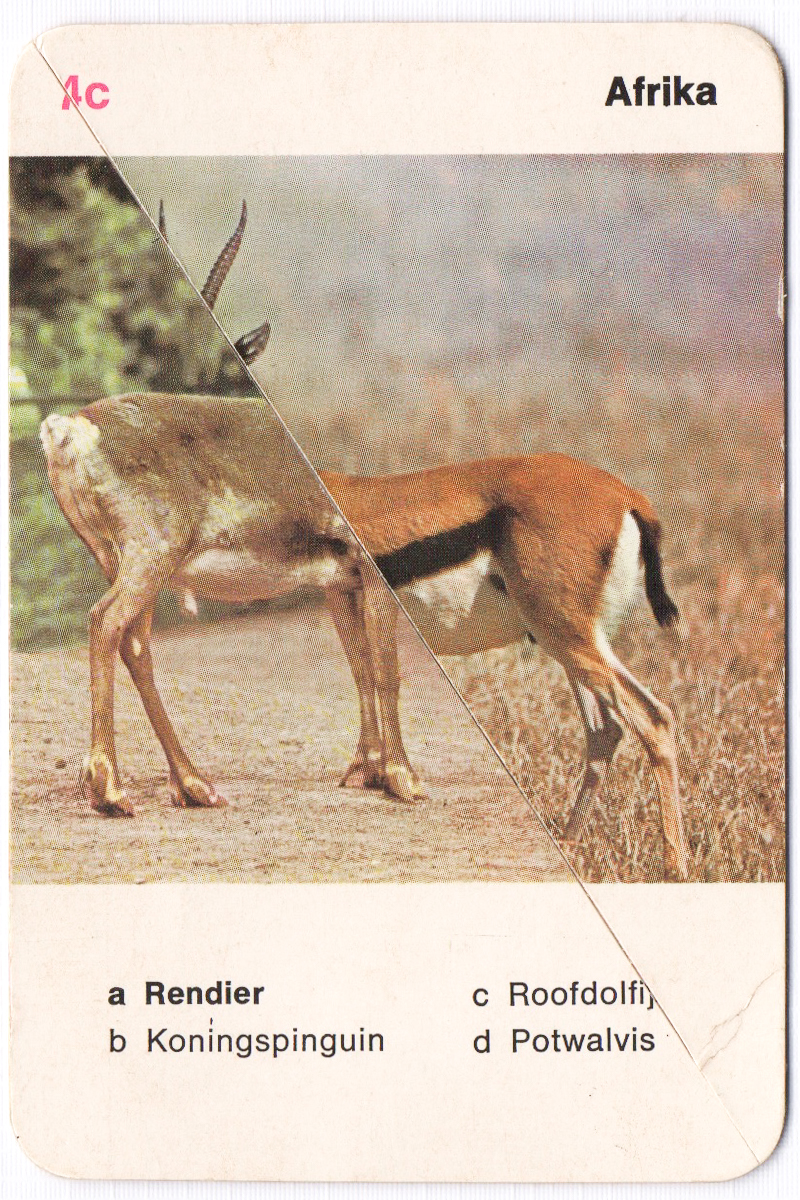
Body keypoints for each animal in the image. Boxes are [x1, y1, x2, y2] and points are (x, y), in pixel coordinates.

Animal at [38, 206, 690, 883]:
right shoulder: (351, 588)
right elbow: (375, 673)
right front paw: (388, 774)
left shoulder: (350, 587)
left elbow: (373, 673)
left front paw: (383, 773)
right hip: (144, 564)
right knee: (115, 630)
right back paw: (134, 791)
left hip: (568, 635)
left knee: (636, 723)